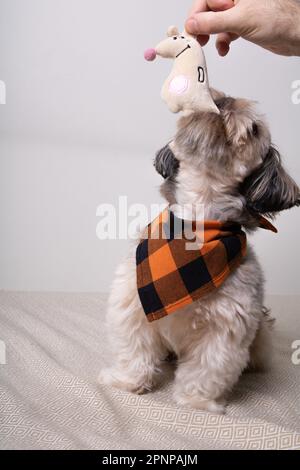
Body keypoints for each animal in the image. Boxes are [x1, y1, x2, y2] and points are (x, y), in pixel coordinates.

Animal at [99, 90, 298, 414]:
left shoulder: (224, 328)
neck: (195, 232)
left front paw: (196, 401)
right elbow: (134, 349)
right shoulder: (134, 302)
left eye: (254, 130)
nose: (224, 101)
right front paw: (127, 382)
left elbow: (207, 368)